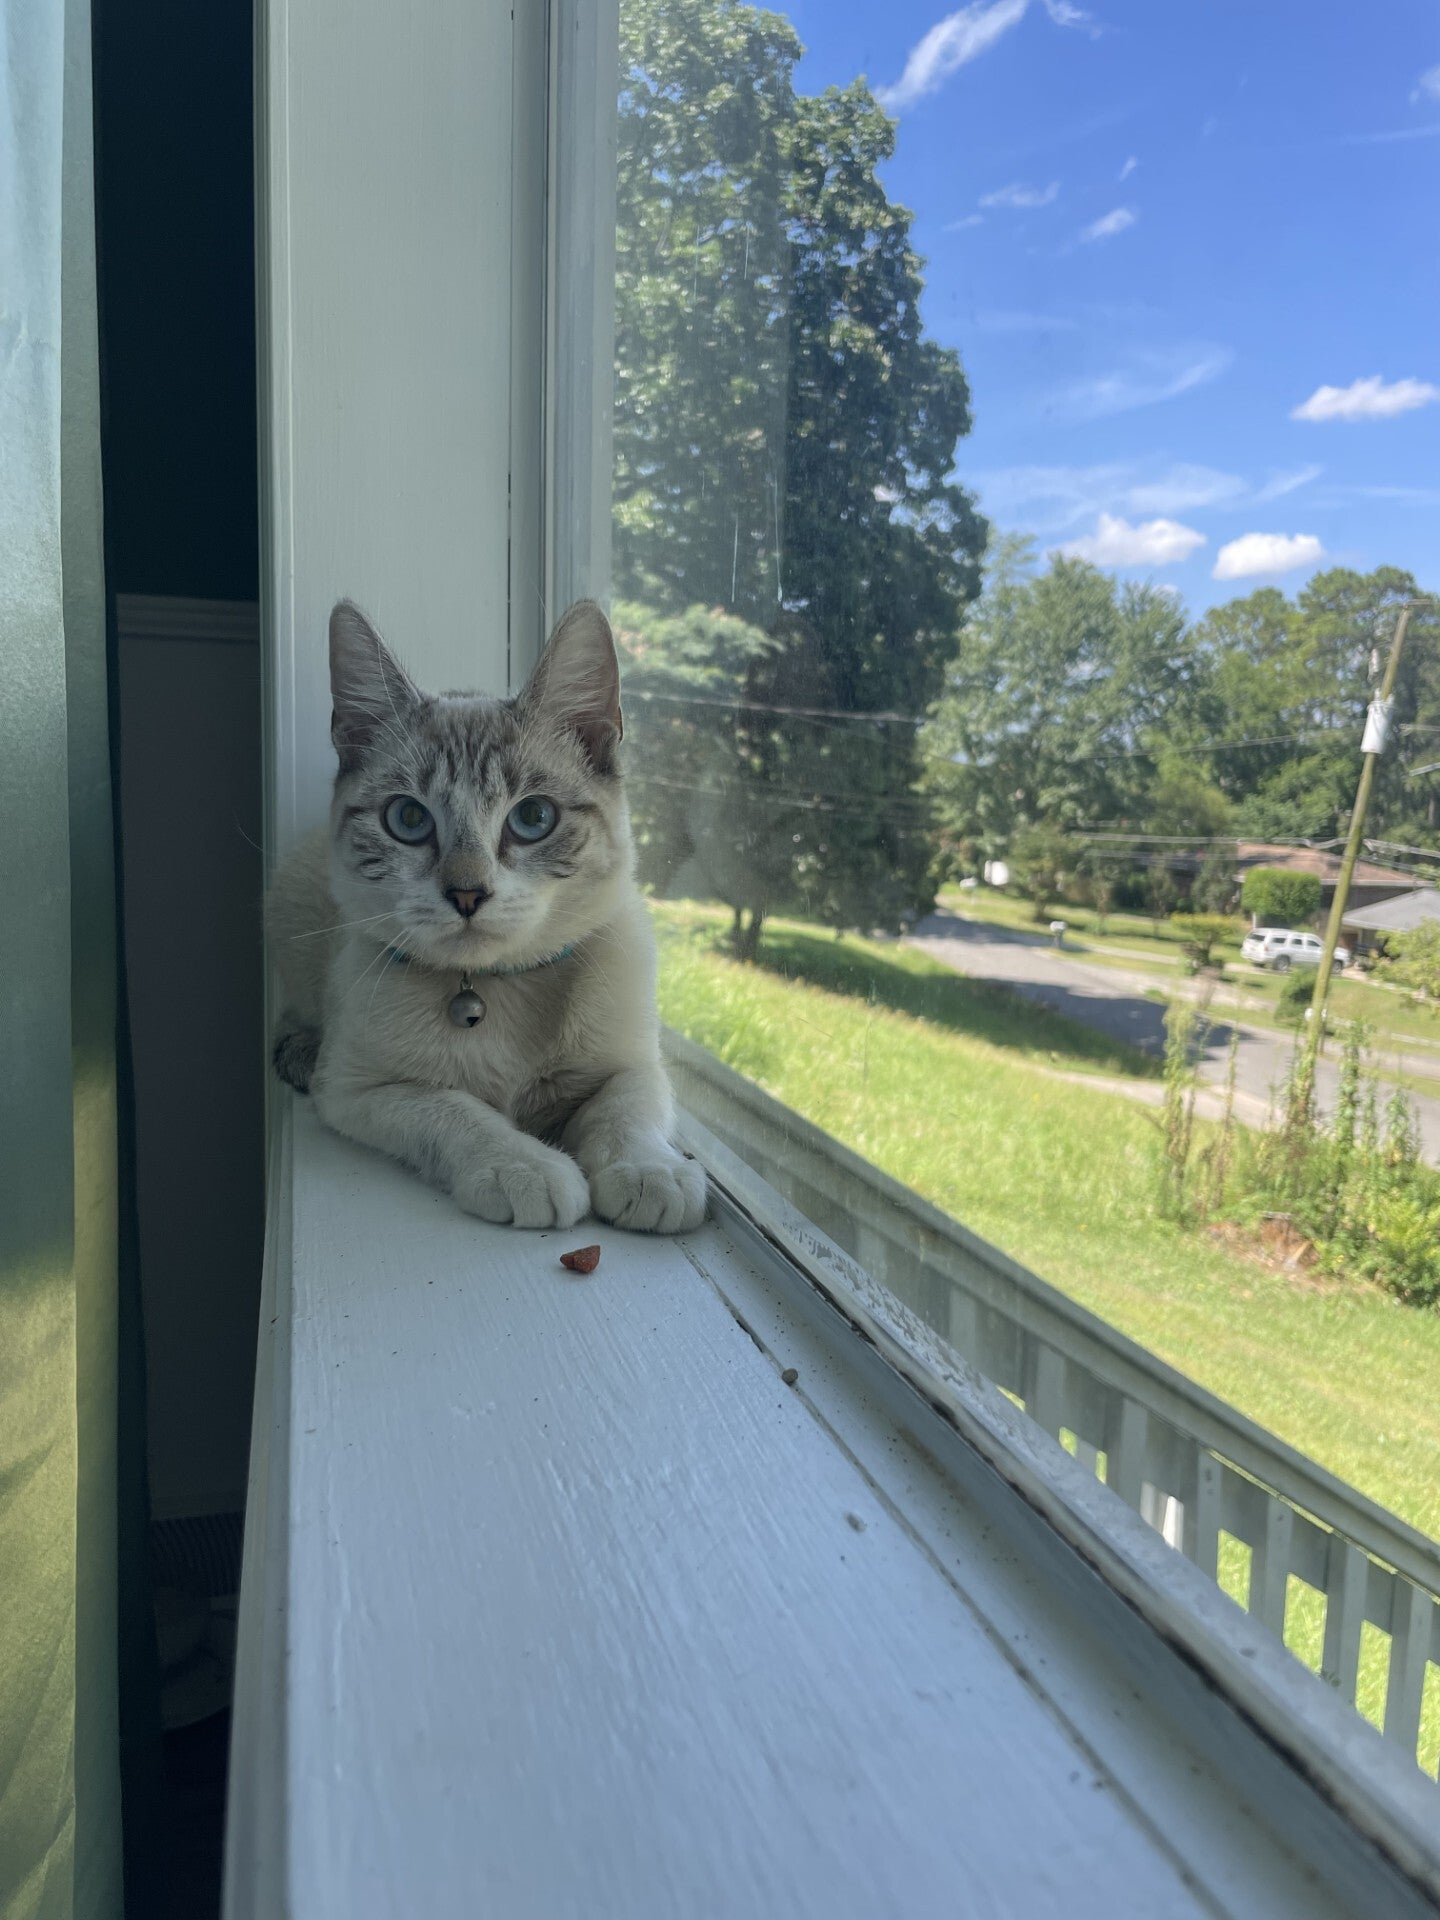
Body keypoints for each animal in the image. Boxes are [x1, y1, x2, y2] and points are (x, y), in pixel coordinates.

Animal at [265, 598, 706, 1234]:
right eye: (407, 819)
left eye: (533, 818)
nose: (468, 894)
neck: (497, 990)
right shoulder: (356, 1090)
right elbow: (452, 1108)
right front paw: (524, 1165)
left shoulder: (635, 1063)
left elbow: (625, 1107)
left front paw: (651, 1170)